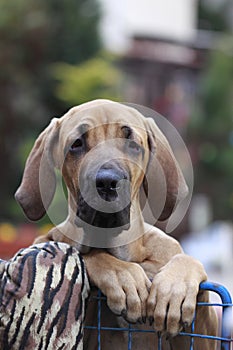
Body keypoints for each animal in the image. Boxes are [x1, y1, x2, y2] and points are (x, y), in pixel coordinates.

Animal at [15, 100, 218, 348]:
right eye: (77, 144)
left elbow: (187, 261)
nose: (107, 182)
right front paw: (124, 276)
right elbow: (90, 255)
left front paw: (173, 289)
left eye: (131, 142)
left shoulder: (202, 338)